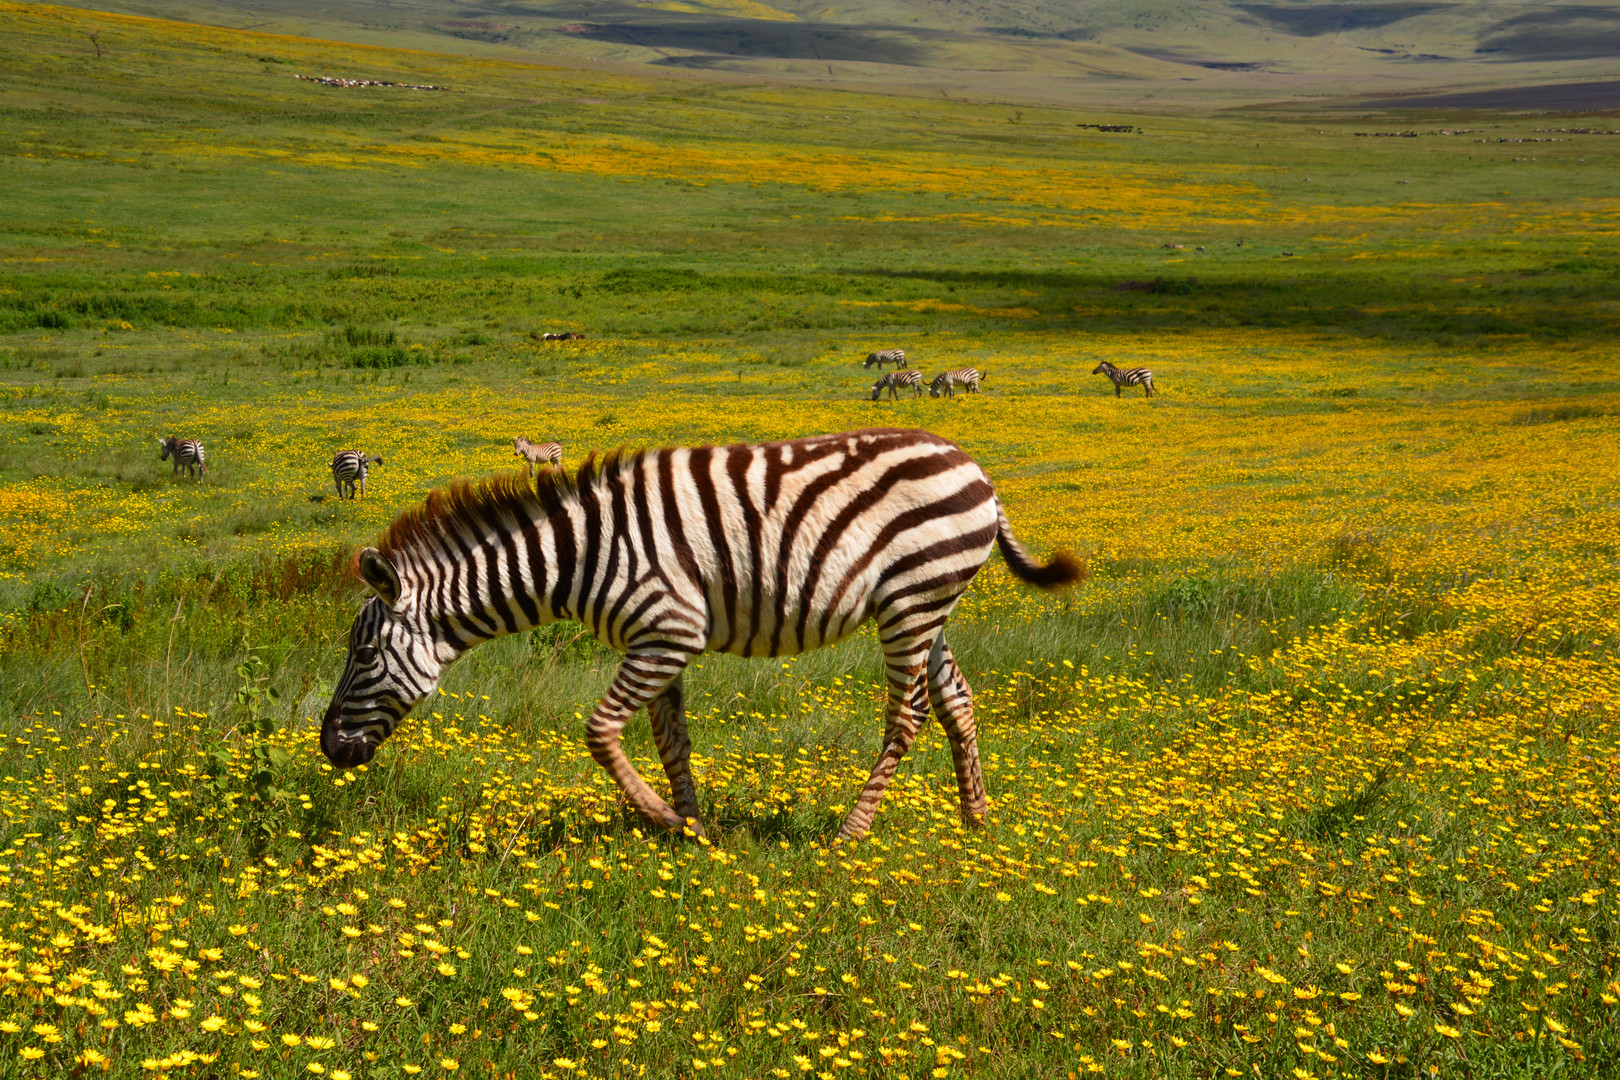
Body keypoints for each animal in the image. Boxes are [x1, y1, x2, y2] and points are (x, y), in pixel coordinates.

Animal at [320, 427, 1082, 841]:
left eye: (364, 653)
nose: (328, 748)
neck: (580, 555)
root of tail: (974, 467)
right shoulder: (654, 642)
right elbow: (670, 739)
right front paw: (692, 828)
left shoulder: (668, 631)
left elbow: (600, 731)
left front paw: (661, 818)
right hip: (931, 601)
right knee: (956, 699)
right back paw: (975, 818)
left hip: (913, 600)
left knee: (908, 713)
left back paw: (849, 832)